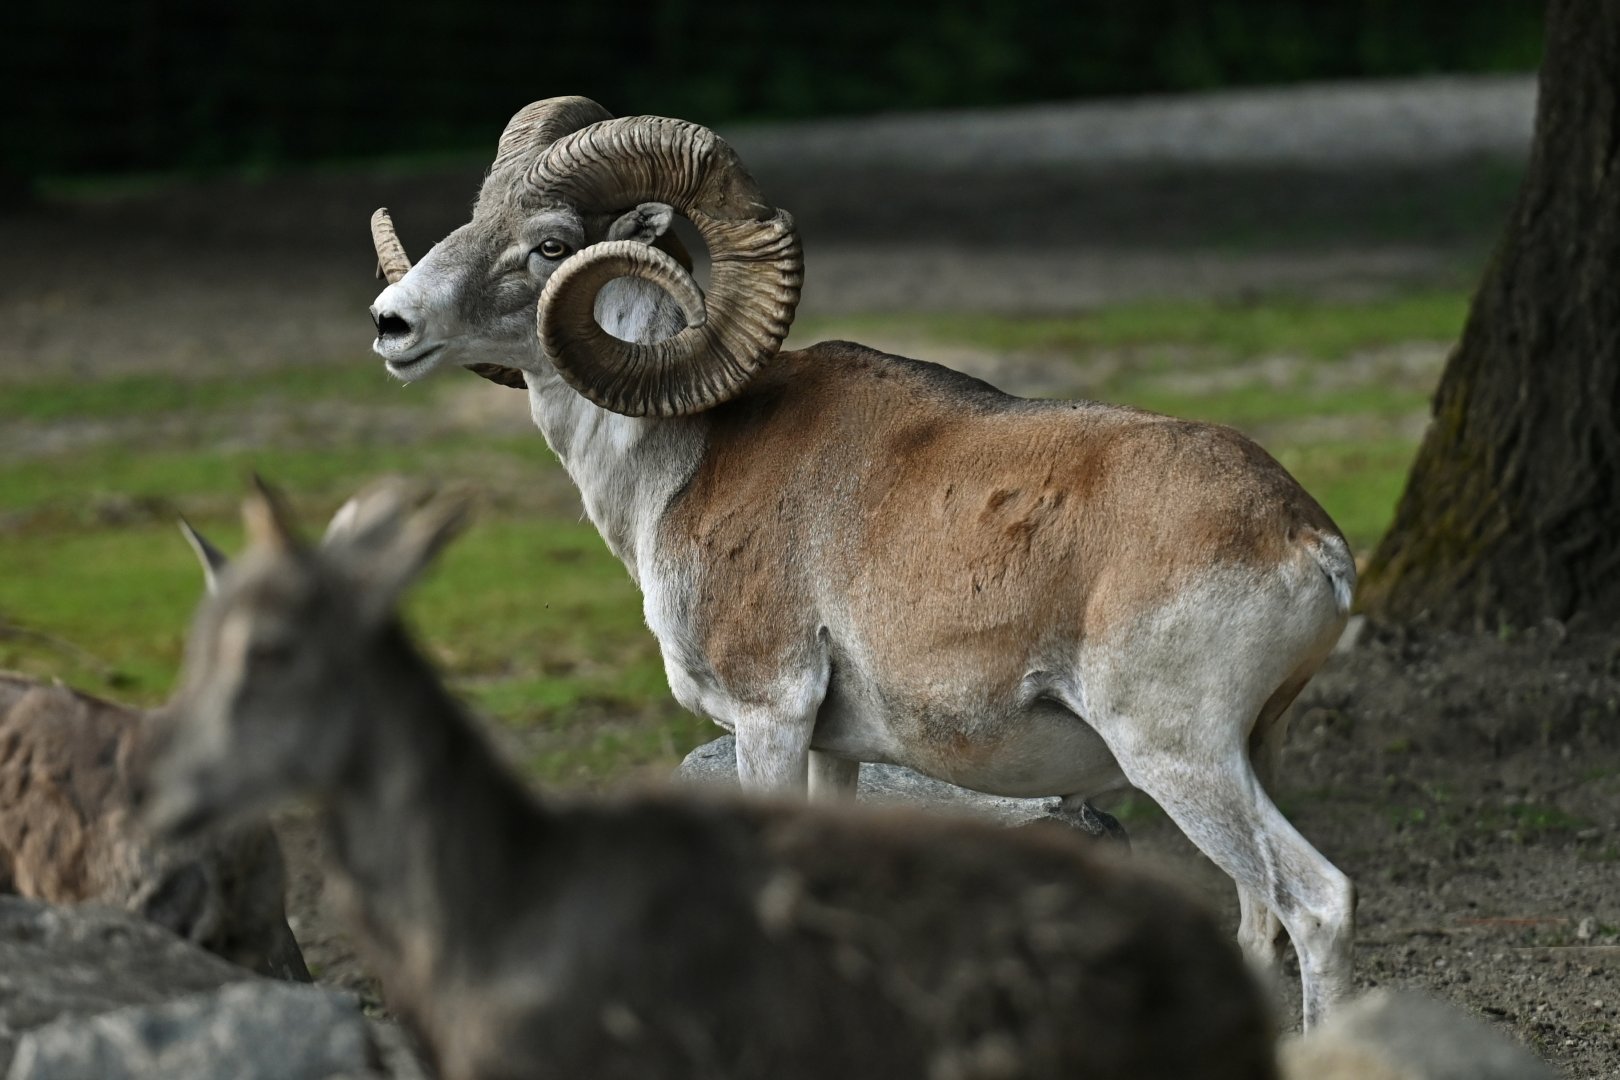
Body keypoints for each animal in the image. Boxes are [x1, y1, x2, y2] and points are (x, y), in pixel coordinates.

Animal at [367, 98, 1357, 1029]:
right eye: (476, 215)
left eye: (550, 244)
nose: (391, 323)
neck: (685, 460)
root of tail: (1307, 538)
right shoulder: (835, 750)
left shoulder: (767, 717)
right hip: (1247, 757)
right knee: (1258, 918)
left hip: (1182, 761)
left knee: (1317, 906)